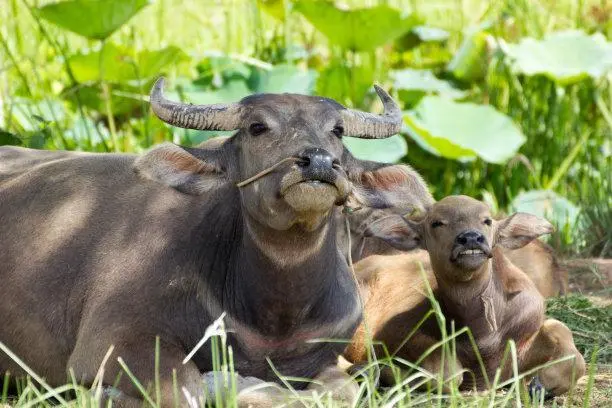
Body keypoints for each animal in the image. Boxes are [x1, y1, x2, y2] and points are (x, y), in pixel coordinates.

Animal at [1, 78, 430, 406]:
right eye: (257, 127)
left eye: (337, 130)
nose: (320, 162)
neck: (272, 316)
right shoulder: (109, 342)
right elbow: (186, 389)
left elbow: (343, 390)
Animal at [346, 197, 584, 396]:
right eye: (436, 223)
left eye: (487, 220)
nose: (470, 238)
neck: (482, 334)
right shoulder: (397, 333)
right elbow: (448, 374)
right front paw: (383, 372)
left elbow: (568, 346)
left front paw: (541, 384)